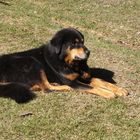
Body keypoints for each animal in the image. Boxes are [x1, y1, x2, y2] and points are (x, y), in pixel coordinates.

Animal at [0, 27, 128, 103]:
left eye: (83, 42)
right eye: (74, 43)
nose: (88, 52)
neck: (69, 63)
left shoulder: (84, 77)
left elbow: (102, 81)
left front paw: (119, 89)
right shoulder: (72, 82)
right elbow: (93, 87)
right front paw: (108, 93)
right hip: (32, 62)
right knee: (47, 88)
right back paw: (63, 87)